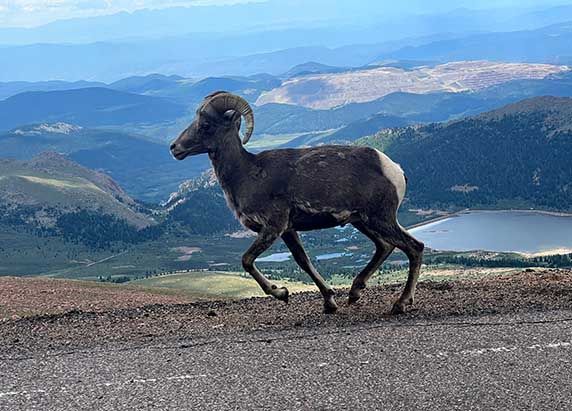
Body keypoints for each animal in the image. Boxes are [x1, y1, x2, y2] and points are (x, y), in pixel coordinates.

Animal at [170, 91, 424, 314]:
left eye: (205, 125)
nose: (174, 148)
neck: (246, 174)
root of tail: (394, 169)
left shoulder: (274, 227)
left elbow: (246, 260)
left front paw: (281, 293)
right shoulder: (288, 231)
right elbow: (303, 261)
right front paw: (329, 303)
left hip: (379, 219)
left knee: (414, 247)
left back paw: (400, 304)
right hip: (362, 221)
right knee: (385, 246)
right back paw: (354, 293)